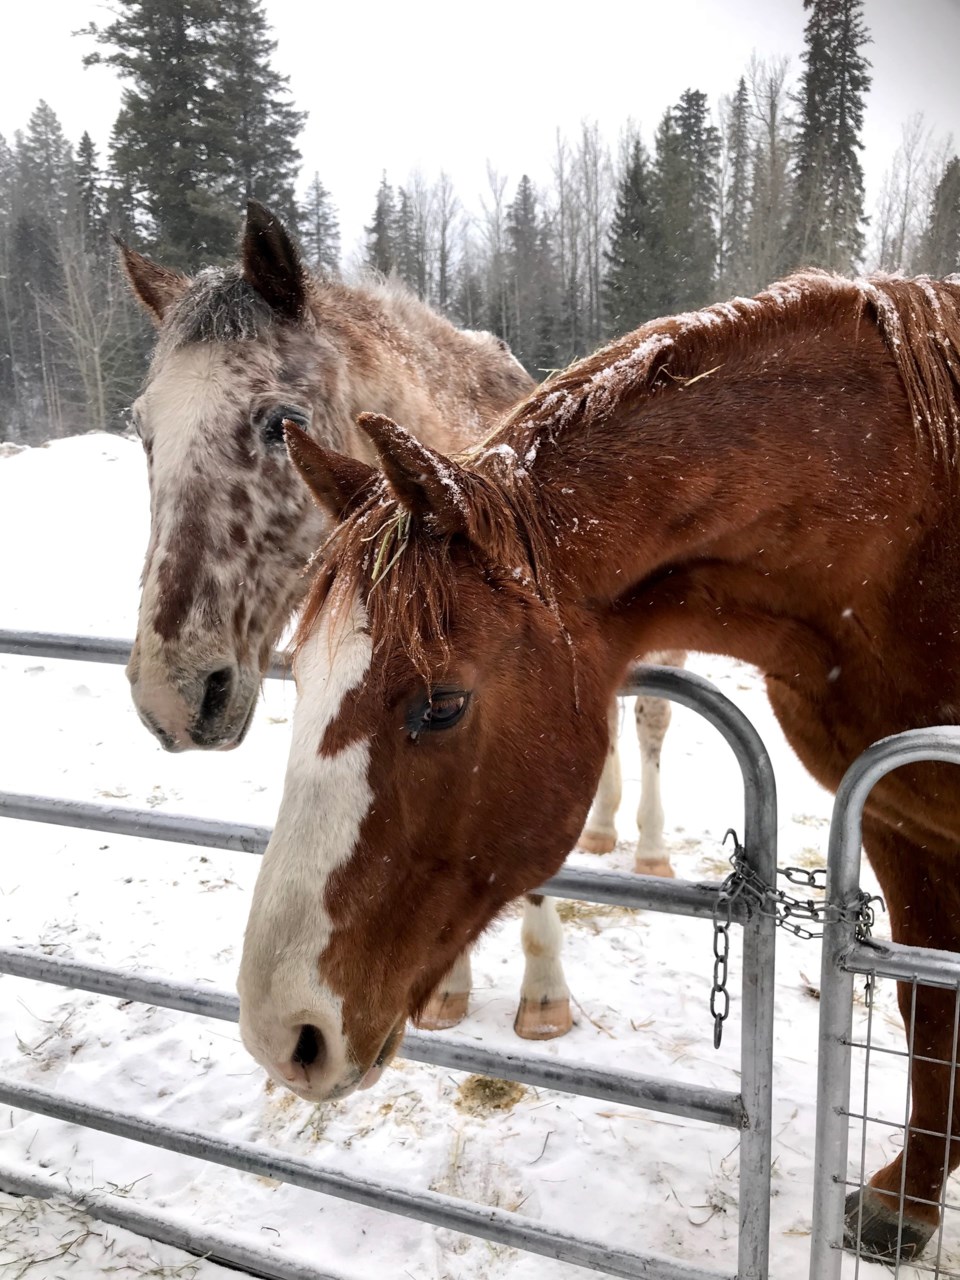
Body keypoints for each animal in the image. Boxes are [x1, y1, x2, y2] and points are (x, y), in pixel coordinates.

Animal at [122, 202, 686, 1039]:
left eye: (279, 423)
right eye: (141, 428)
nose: (175, 693)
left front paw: (544, 992)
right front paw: (448, 987)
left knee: (648, 723)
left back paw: (645, 846)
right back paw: (604, 828)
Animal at [236, 267, 960, 1259]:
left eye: (442, 704)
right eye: (299, 676)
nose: (283, 1033)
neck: (910, 535)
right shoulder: (891, 815)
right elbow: (929, 1007)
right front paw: (909, 1202)